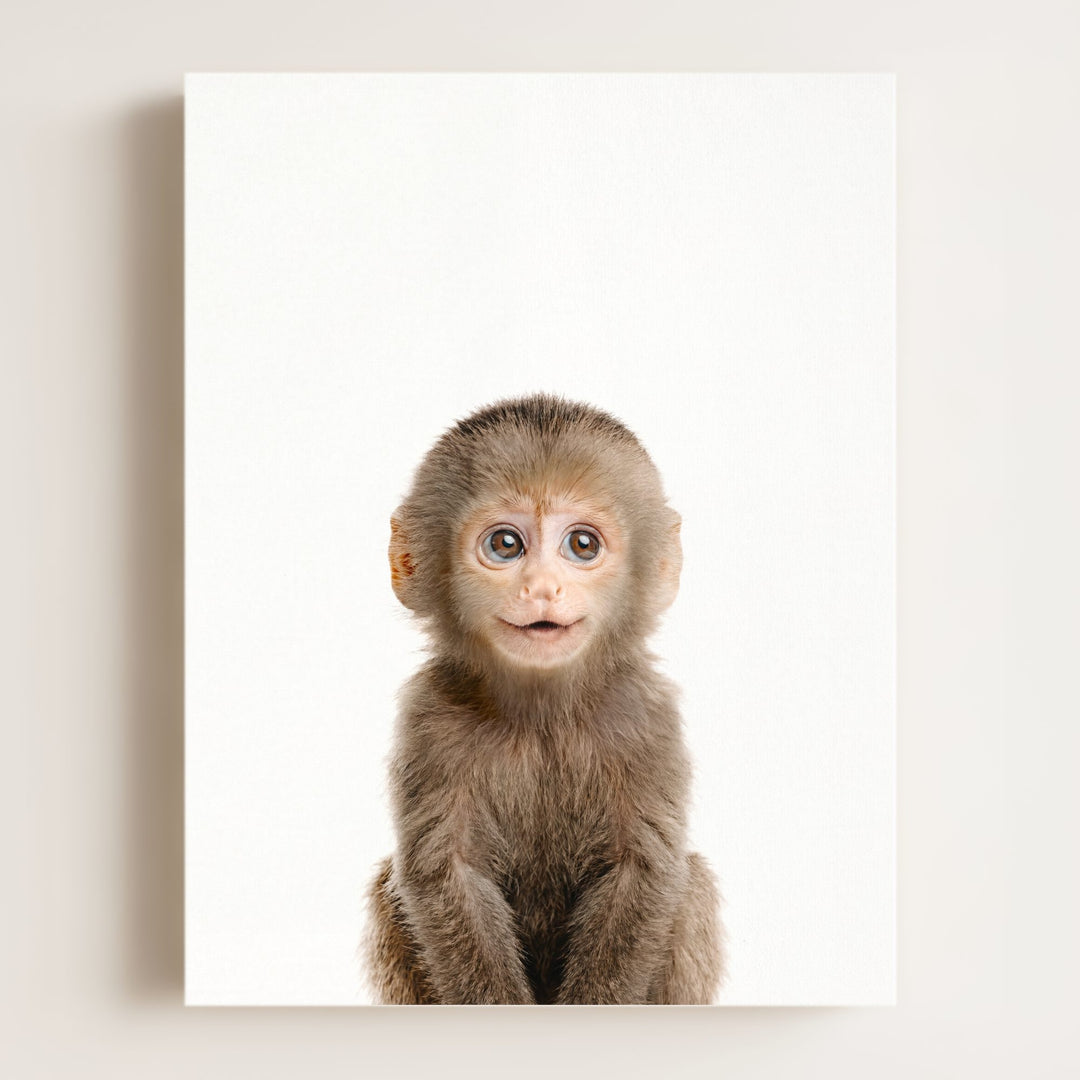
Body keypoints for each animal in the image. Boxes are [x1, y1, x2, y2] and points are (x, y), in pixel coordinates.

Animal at [364, 394, 724, 1005]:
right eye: (506, 545)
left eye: (582, 544)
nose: (542, 588)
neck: (542, 714)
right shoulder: (429, 718)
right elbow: (447, 874)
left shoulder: (646, 715)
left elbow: (642, 871)